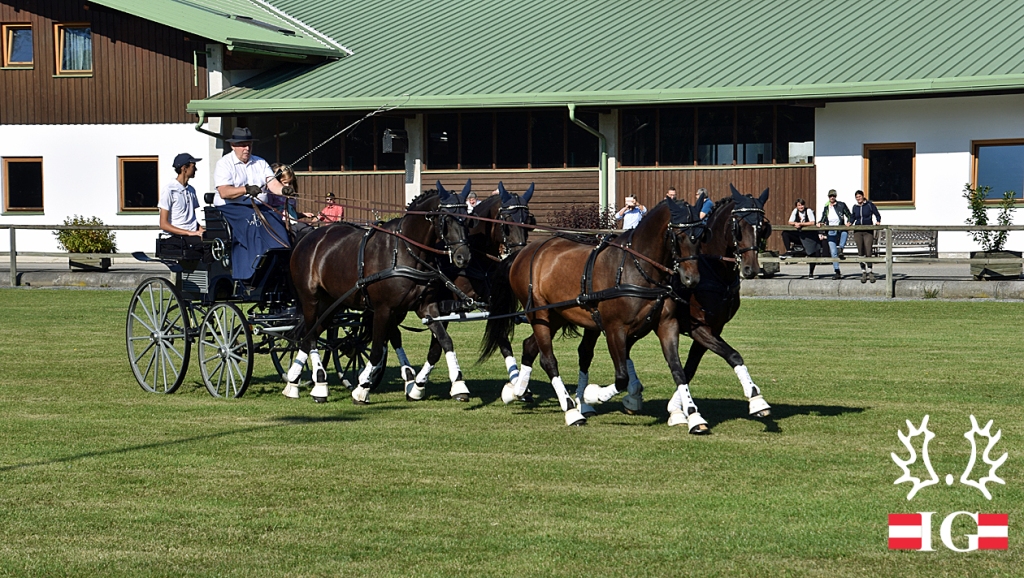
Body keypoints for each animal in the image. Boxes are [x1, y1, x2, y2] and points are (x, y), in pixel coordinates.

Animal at [286, 182, 473, 403]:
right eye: (446, 218)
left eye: (467, 217)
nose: (463, 257)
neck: (404, 251)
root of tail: (310, 237)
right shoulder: (383, 309)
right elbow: (376, 350)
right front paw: (362, 388)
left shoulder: (426, 307)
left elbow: (445, 341)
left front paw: (458, 385)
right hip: (310, 299)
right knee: (311, 336)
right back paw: (316, 384)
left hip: (331, 303)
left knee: (310, 334)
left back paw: (297, 382)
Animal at [399, 182, 536, 399]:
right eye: (505, 221)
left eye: (529, 221)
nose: (518, 256)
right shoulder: (443, 308)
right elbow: (437, 348)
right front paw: (424, 385)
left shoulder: (492, 306)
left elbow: (502, 341)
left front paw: (517, 385)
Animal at [479, 197, 704, 424]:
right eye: (679, 235)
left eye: (702, 235)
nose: (691, 279)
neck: (636, 268)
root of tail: (521, 253)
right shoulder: (614, 329)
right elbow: (621, 377)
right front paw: (592, 394)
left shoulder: (666, 325)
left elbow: (678, 369)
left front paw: (693, 415)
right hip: (539, 314)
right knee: (547, 359)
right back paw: (570, 409)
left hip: (555, 316)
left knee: (529, 347)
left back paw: (516, 391)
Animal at [581, 185, 770, 434]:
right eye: (737, 226)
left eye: (762, 226)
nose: (751, 269)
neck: (712, 271)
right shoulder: (698, 327)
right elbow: (725, 356)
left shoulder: (713, 328)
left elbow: (694, 366)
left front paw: (678, 409)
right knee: (587, 352)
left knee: (625, 350)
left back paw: (631, 396)